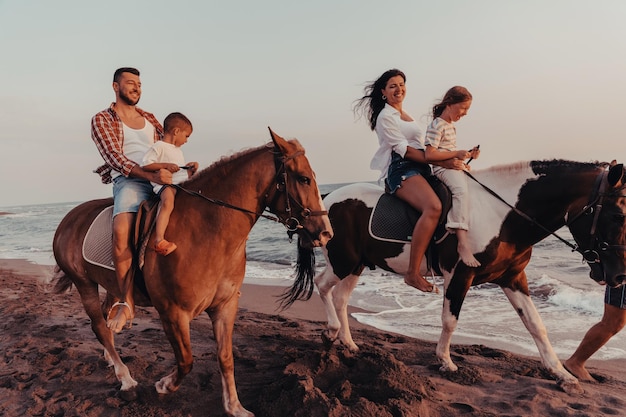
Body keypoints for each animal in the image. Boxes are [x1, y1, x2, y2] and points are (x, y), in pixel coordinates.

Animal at [50, 129, 332, 416]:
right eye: (304, 178)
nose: (325, 233)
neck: (206, 230)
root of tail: (69, 218)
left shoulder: (225, 306)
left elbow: (226, 357)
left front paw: (234, 406)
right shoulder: (173, 313)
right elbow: (186, 360)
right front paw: (164, 385)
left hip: (110, 286)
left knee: (109, 318)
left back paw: (112, 354)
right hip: (84, 284)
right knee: (99, 326)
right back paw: (126, 379)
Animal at [286, 158, 624, 394]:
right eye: (618, 215)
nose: (619, 277)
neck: (500, 215)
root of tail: (328, 198)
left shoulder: (513, 278)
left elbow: (536, 325)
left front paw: (561, 374)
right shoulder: (460, 274)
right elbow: (450, 319)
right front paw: (446, 361)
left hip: (357, 264)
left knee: (341, 297)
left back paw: (347, 343)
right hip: (344, 261)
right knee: (324, 287)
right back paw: (331, 332)